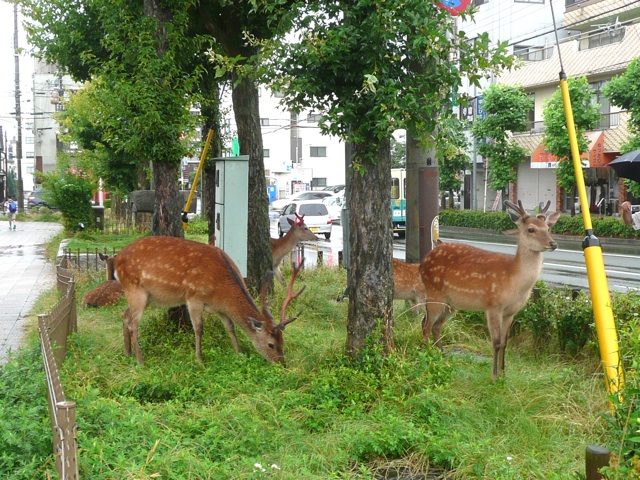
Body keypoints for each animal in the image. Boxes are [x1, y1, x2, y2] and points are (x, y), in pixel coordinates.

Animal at [114, 234, 304, 366]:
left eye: (283, 341)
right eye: (271, 344)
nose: (282, 364)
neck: (221, 289)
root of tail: (116, 259)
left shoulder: (220, 308)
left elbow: (230, 327)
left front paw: (239, 353)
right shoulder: (193, 297)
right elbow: (199, 328)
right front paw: (199, 359)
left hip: (145, 296)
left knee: (124, 315)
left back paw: (127, 353)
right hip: (135, 288)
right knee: (134, 324)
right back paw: (140, 361)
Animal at [420, 201, 560, 380]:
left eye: (548, 228)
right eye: (531, 229)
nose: (553, 244)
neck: (514, 280)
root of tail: (422, 264)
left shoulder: (511, 312)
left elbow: (505, 342)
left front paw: (504, 373)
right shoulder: (493, 305)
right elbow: (496, 342)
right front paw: (494, 376)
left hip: (451, 304)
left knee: (436, 326)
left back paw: (443, 357)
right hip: (433, 292)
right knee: (426, 325)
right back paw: (427, 357)